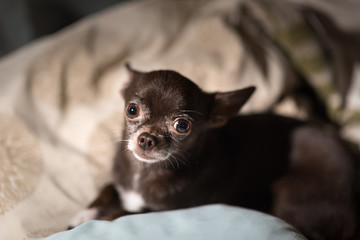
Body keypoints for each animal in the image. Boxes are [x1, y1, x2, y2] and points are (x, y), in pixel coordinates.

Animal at [69, 64, 358, 239]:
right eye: (132, 110)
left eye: (181, 126)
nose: (147, 139)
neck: (144, 172)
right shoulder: (119, 182)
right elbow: (108, 189)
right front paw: (85, 213)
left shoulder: (164, 211)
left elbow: (123, 214)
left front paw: (93, 222)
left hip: (289, 193)